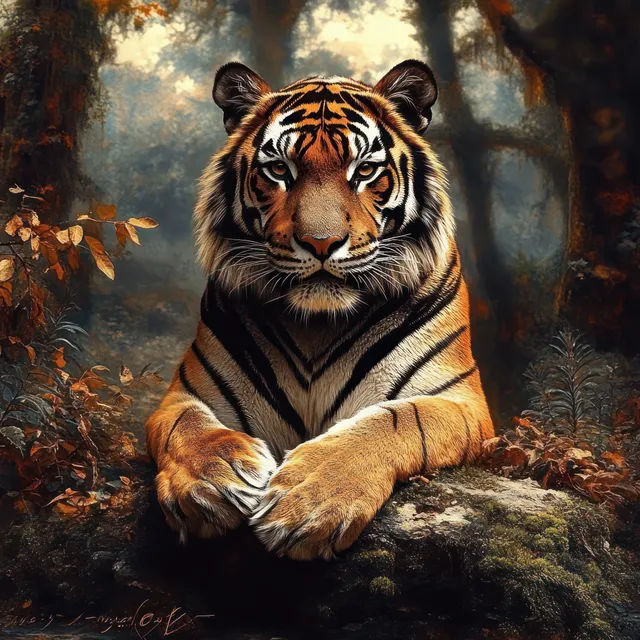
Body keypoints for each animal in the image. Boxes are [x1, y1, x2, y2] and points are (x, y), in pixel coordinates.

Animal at [145, 59, 494, 561]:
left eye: (364, 170)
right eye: (279, 169)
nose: (321, 242)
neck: (316, 325)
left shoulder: (460, 402)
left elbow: (395, 421)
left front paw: (307, 502)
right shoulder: (185, 394)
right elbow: (185, 426)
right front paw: (211, 483)